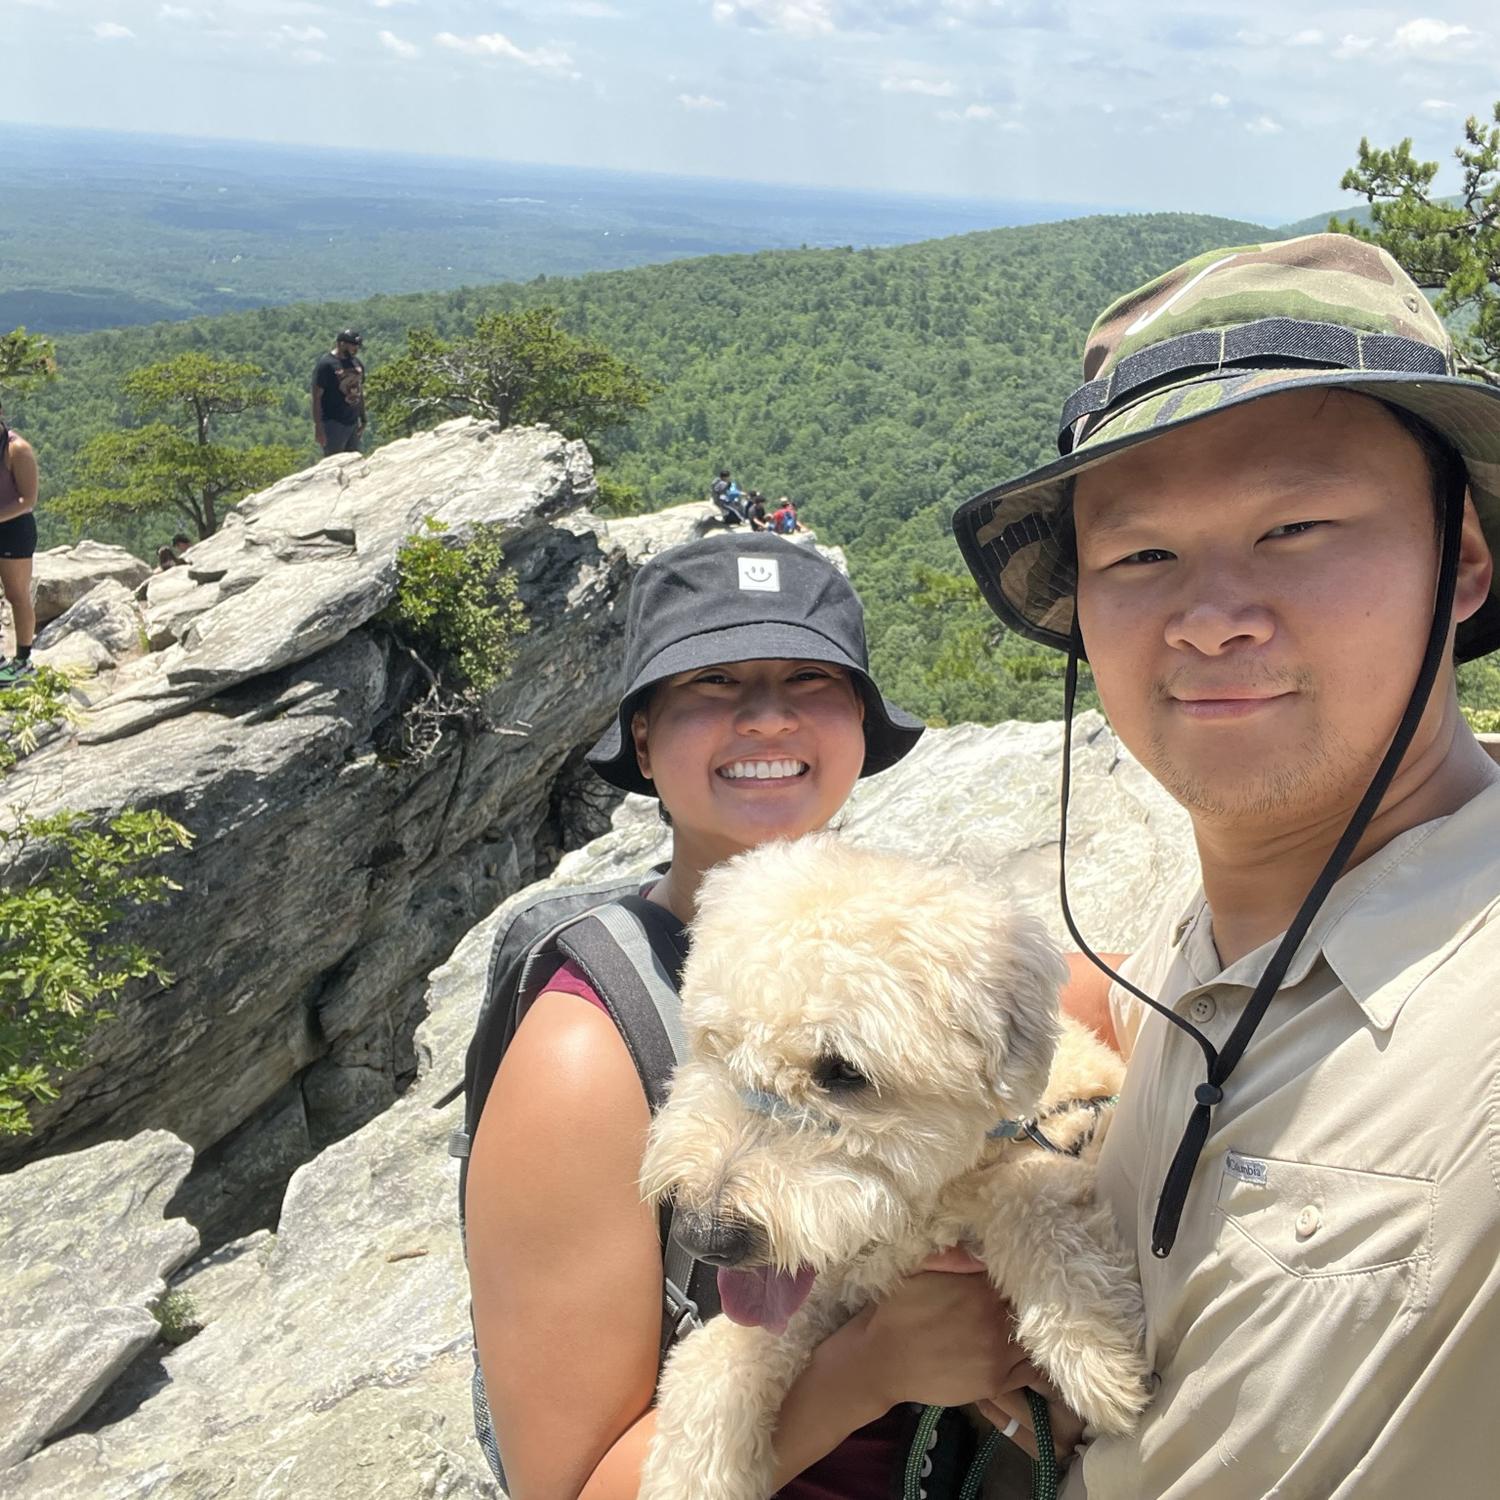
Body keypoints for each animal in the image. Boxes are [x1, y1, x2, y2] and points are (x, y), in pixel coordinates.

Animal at [636, 840, 1146, 1500]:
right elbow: (722, 1351)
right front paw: (691, 1469)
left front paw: (1092, 1343)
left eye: (843, 1072)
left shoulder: (1073, 1134)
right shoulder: (833, 1284)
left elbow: (1033, 1196)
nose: (705, 1236)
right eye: (714, 1042)